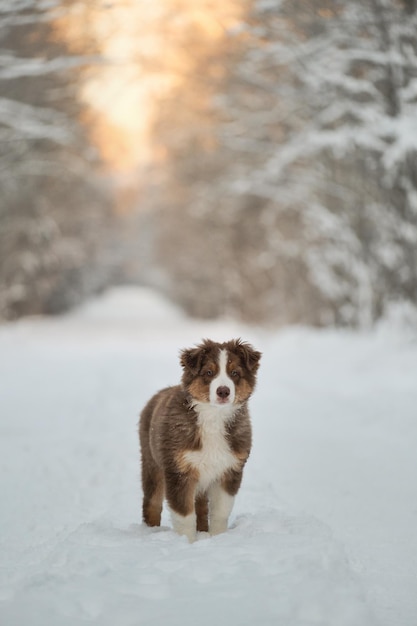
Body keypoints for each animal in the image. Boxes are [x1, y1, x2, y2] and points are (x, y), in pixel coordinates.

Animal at [139, 338, 260, 540]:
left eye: (235, 373)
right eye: (209, 373)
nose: (223, 391)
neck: (213, 417)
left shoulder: (229, 469)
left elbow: (220, 511)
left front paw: (217, 538)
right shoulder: (179, 471)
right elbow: (185, 515)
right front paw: (187, 542)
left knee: (201, 507)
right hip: (152, 463)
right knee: (152, 502)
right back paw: (150, 531)